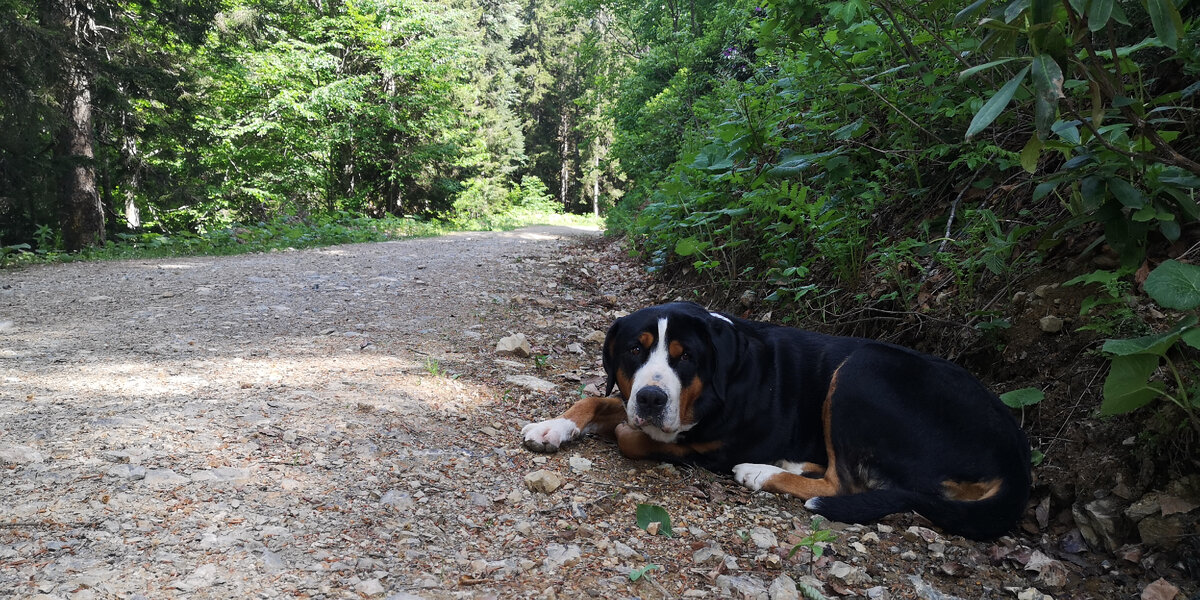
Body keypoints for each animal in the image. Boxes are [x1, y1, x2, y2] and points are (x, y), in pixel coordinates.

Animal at [523, 302, 1032, 542]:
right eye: (634, 349)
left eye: (685, 357)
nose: (651, 397)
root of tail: (1017, 455)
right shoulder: (630, 397)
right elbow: (597, 399)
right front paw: (553, 426)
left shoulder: (711, 446)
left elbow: (631, 434)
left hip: (861, 369)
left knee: (843, 484)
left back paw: (762, 473)